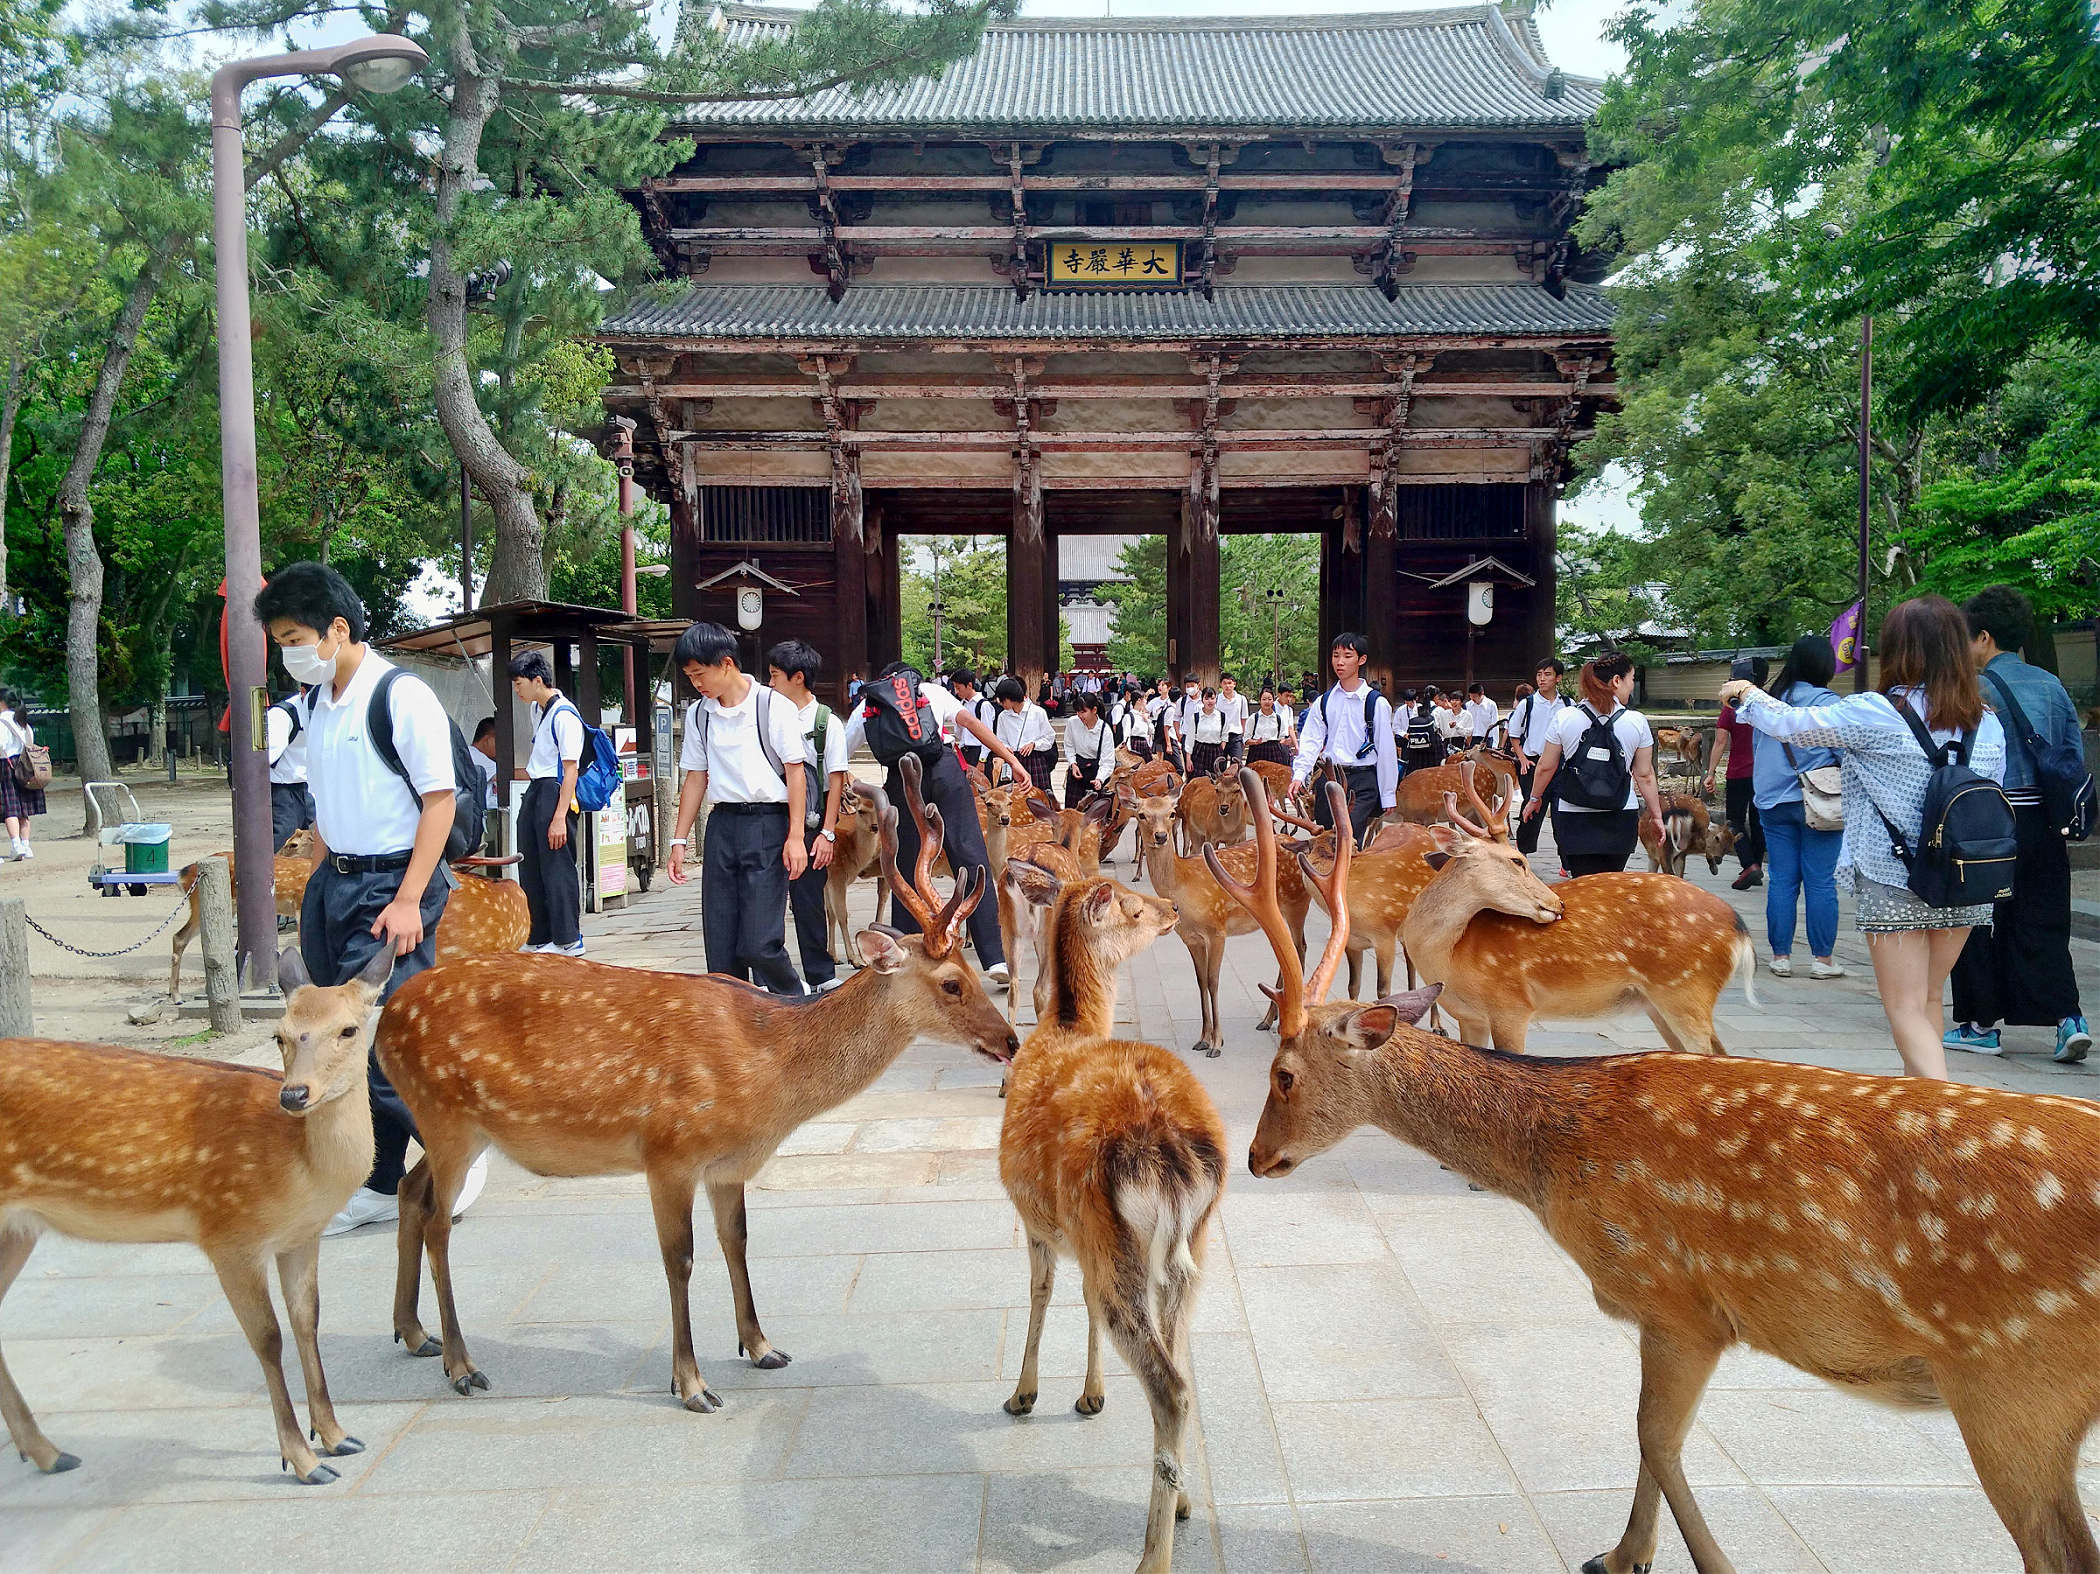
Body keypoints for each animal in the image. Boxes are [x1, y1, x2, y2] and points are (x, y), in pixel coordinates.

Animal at [0, 946, 391, 1484]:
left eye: (348, 1030)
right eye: (280, 1034)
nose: (294, 1094)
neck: (299, 1172)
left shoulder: (300, 1236)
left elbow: (307, 1320)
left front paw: (337, 1437)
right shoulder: (229, 1233)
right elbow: (267, 1339)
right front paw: (303, 1461)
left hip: (17, 1230)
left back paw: (48, 1453)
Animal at [376, 755, 1019, 1411]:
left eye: (970, 971)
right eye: (950, 984)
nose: (1010, 1041)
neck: (767, 1080)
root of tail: (385, 1017)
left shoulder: (729, 1165)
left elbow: (737, 1241)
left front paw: (762, 1347)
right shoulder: (668, 1152)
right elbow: (679, 1259)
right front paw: (691, 1383)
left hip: (451, 1124)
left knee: (408, 1189)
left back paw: (414, 1333)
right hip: (447, 1115)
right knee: (436, 1221)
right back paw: (462, 1364)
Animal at [999, 857, 1225, 1574]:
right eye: (1132, 906)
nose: (1171, 908)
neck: (1066, 1025)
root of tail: (1171, 1151)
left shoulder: (1038, 1218)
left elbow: (1042, 1292)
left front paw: (1024, 1394)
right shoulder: (1078, 1235)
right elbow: (1076, 1300)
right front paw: (1090, 1394)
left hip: (1113, 1240)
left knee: (1169, 1387)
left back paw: (1152, 1558)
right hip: (1189, 1250)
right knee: (1180, 1364)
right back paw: (1180, 1503)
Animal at [1131, 786, 1307, 1055]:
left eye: (1171, 813)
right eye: (1141, 814)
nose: (1160, 836)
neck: (1183, 884)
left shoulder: (1217, 930)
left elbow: (1213, 981)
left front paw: (1216, 1043)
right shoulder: (1190, 938)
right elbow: (1201, 980)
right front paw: (1203, 1038)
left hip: (1298, 903)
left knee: (1300, 949)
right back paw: (1269, 1019)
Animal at [1402, 779, 1754, 1056]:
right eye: (1517, 861)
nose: (1557, 903)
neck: (1452, 956)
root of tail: (1740, 931)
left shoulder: (1512, 1005)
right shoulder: (1469, 1016)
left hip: (1685, 990)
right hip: (1660, 1003)